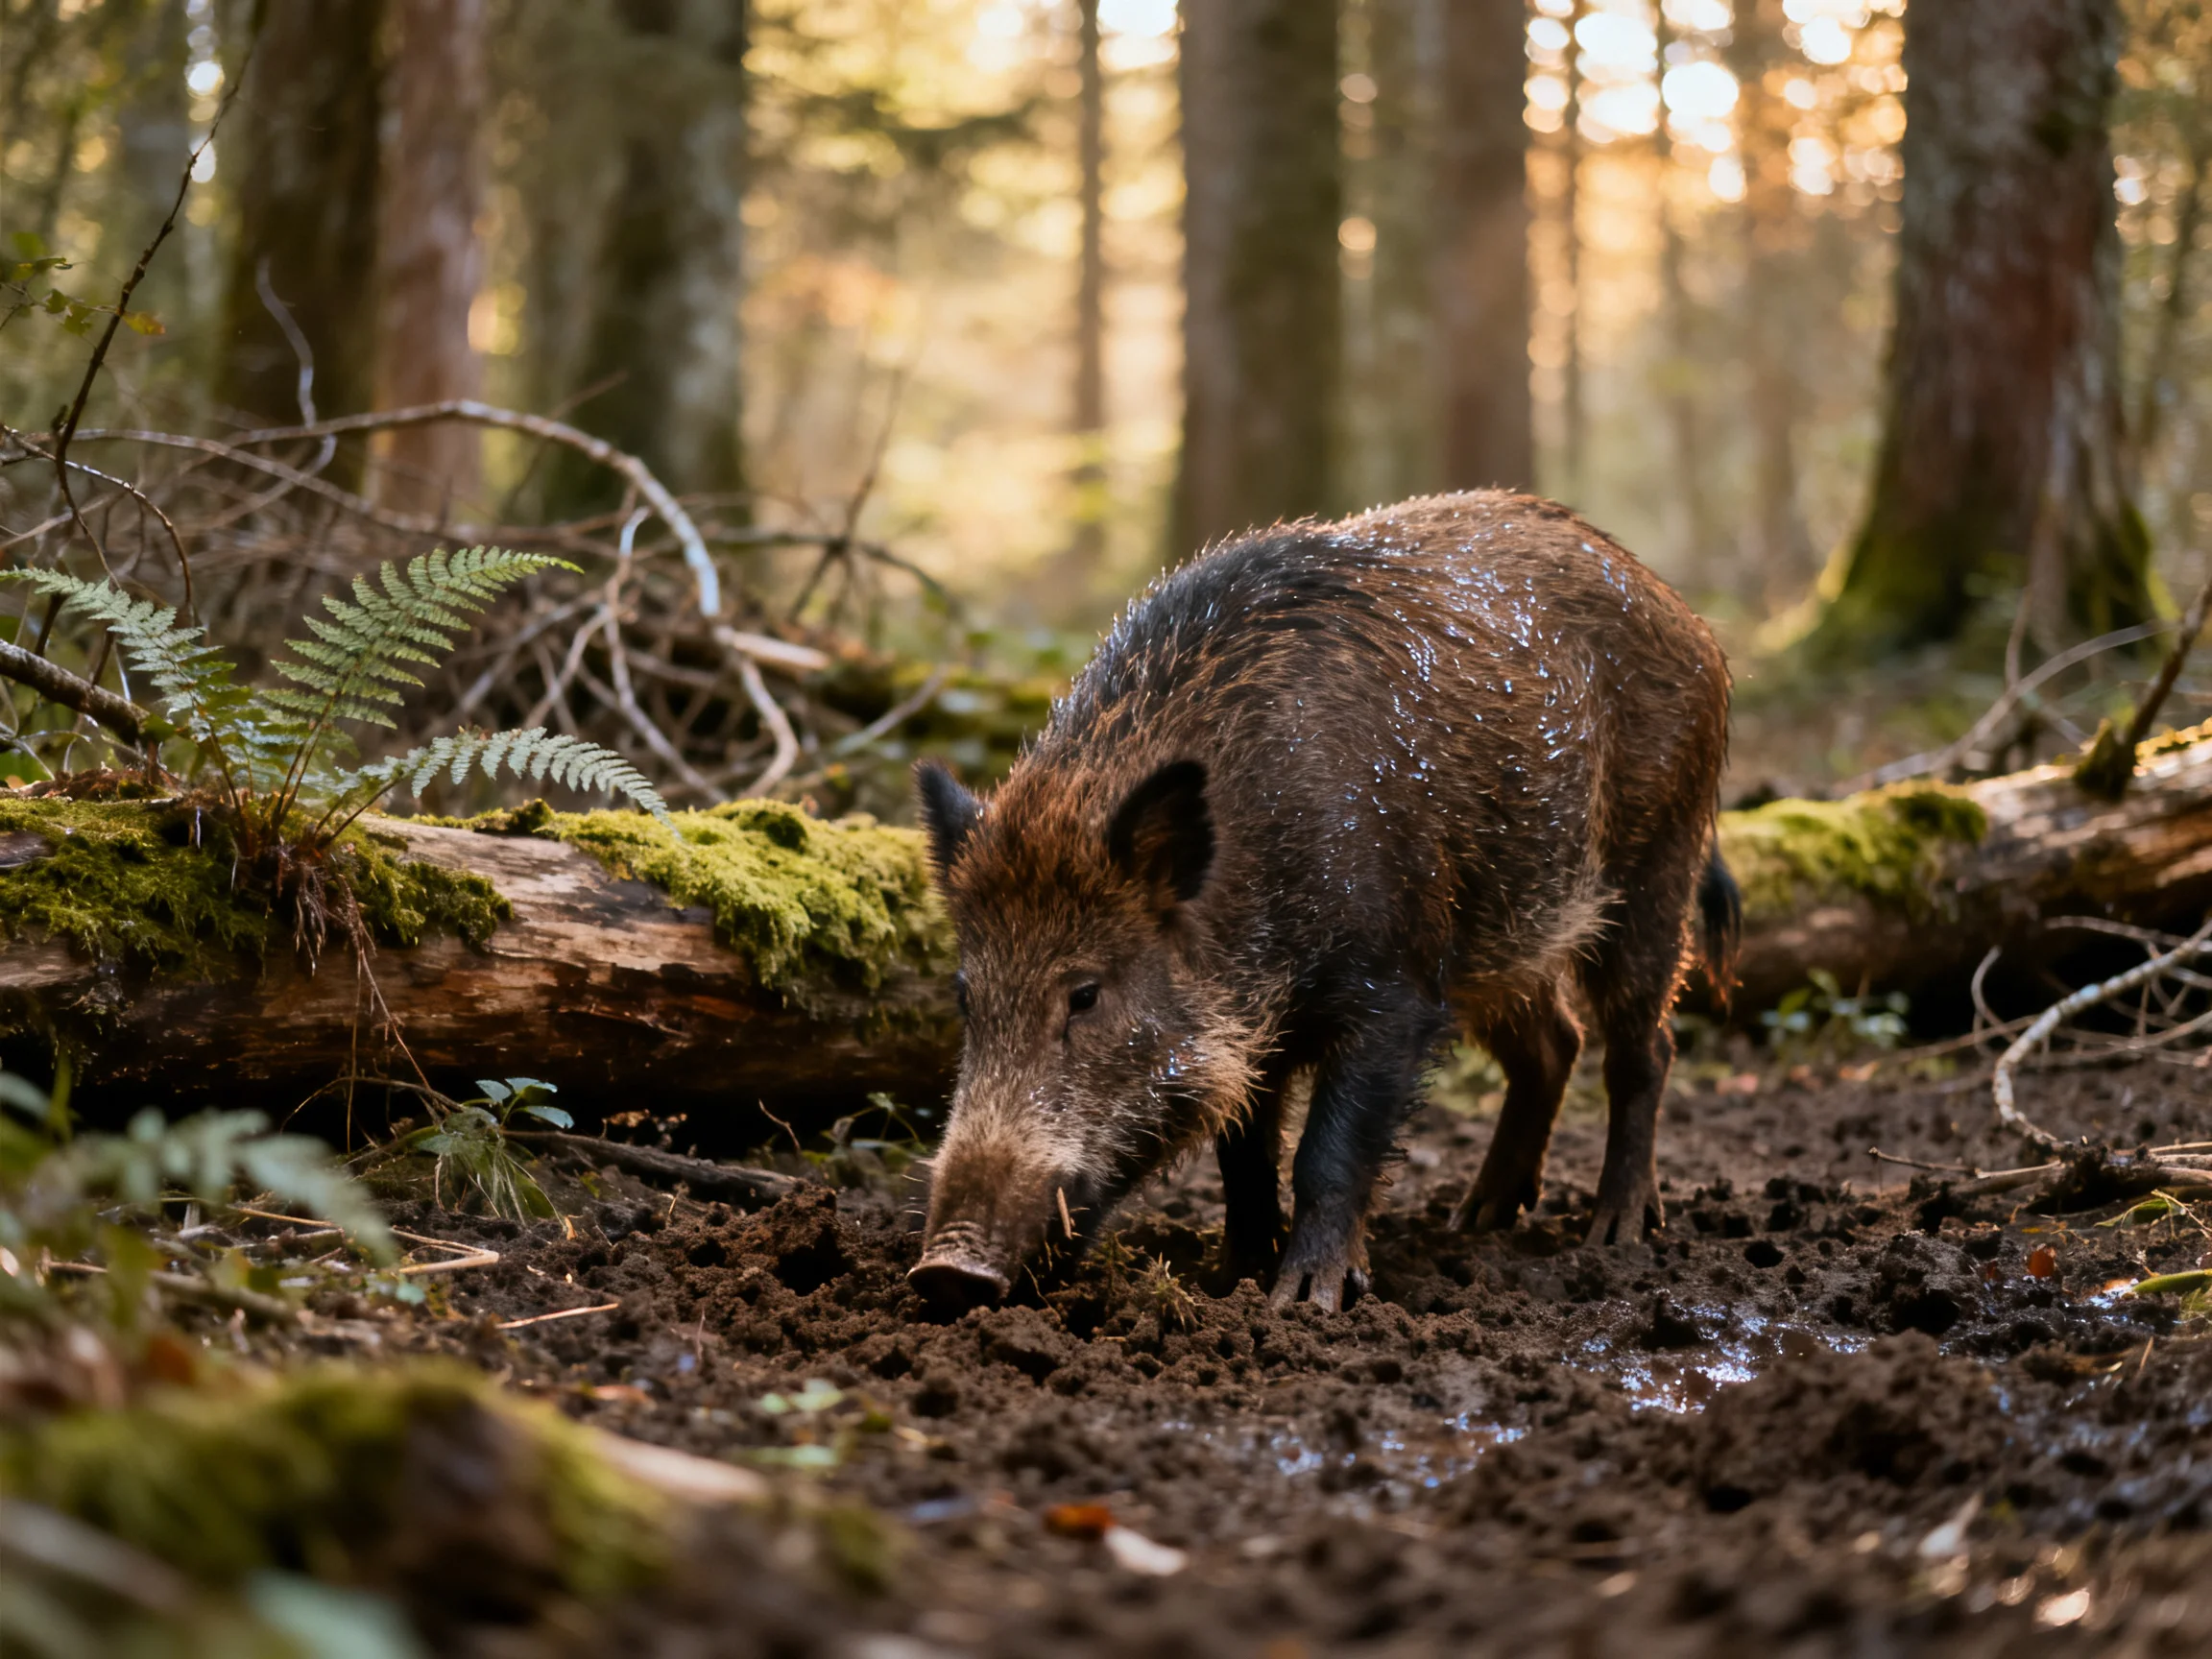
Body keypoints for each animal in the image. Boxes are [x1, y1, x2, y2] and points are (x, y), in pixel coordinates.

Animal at [908, 491, 1737, 1312]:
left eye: (1085, 995)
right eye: (964, 997)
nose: (946, 1272)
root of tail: (1685, 616)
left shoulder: (1393, 990)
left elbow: (1326, 1153)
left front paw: (1305, 1300)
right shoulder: (1258, 1036)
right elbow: (1244, 1158)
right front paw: (1233, 1278)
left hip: (1656, 864)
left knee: (1642, 1046)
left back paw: (1617, 1233)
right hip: (1502, 937)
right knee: (1554, 1042)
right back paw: (1476, 1219)